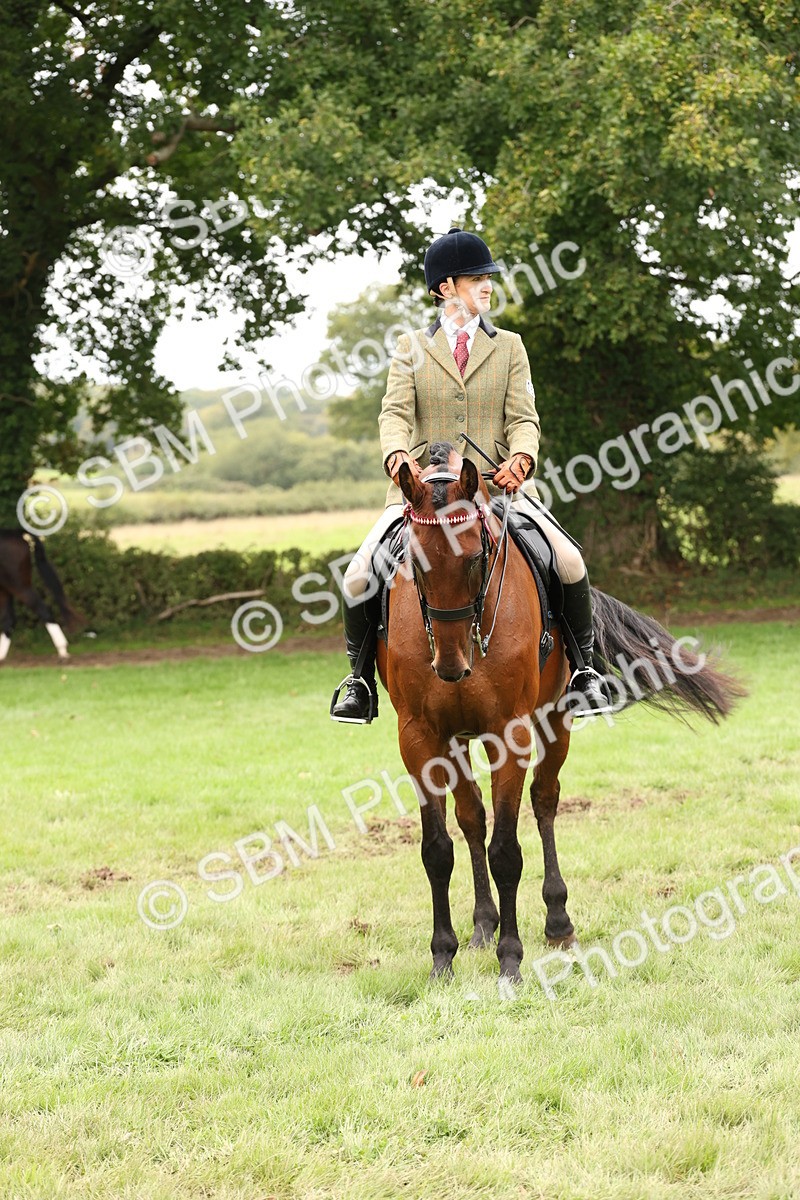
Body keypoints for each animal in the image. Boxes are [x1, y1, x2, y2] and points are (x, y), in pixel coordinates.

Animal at [0, 530, 79, 661]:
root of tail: (15, 534)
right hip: (6, 589)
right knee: (9, 620)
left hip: (20, 587)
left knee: (43, 610)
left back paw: (62, 650)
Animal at [375, 442, 745, 983]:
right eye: (415, 566)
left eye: (476, 559)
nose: (451, 666)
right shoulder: (419, 738)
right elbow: (437, 849)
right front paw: (443, 956)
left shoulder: (510, 732)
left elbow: (507, 851)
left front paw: (511, 959)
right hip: (457, 738)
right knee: (472, 817)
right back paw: (482, 925)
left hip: (554, 719)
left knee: (544, 800)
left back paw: (557, 922)